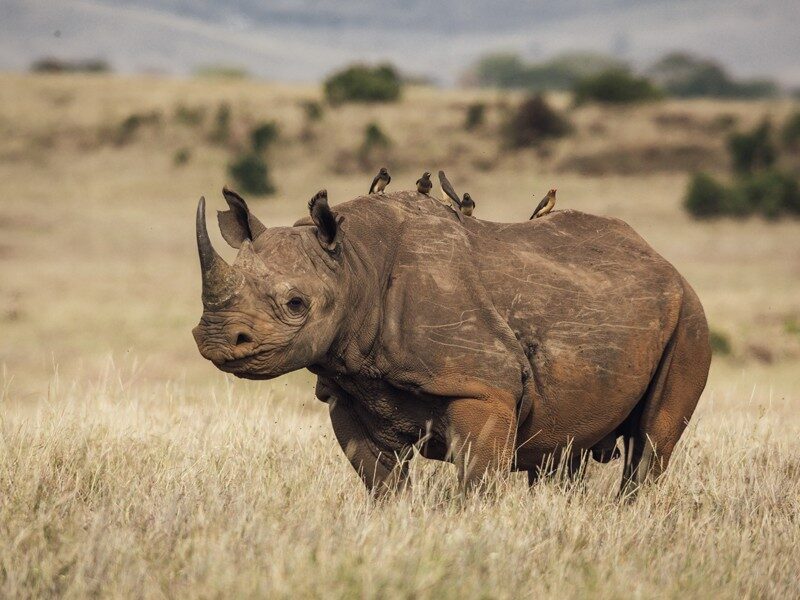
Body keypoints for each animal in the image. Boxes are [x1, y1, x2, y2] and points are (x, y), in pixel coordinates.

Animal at [192, 188, 711, 496]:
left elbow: (478, 479)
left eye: (296, 303)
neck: (355, 264)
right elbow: (381, 482)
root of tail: (663, 261)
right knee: (564, 449)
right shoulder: (347, 388)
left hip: (690, 316)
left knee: (651, 443)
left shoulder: (483, 388)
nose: (216, 338)